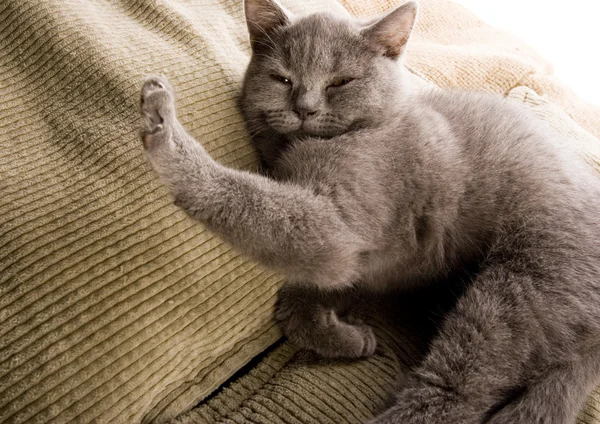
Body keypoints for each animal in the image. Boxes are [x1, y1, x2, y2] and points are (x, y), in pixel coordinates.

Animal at [138, 0, 600, 420]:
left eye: (341, 81)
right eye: (282, 78)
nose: (304, 108)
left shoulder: (338, 223)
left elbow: (251, 201)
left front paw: (164, 129)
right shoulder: (363, 258)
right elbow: (307, 293)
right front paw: (347, 337)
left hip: (519, 289)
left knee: (458, 393)